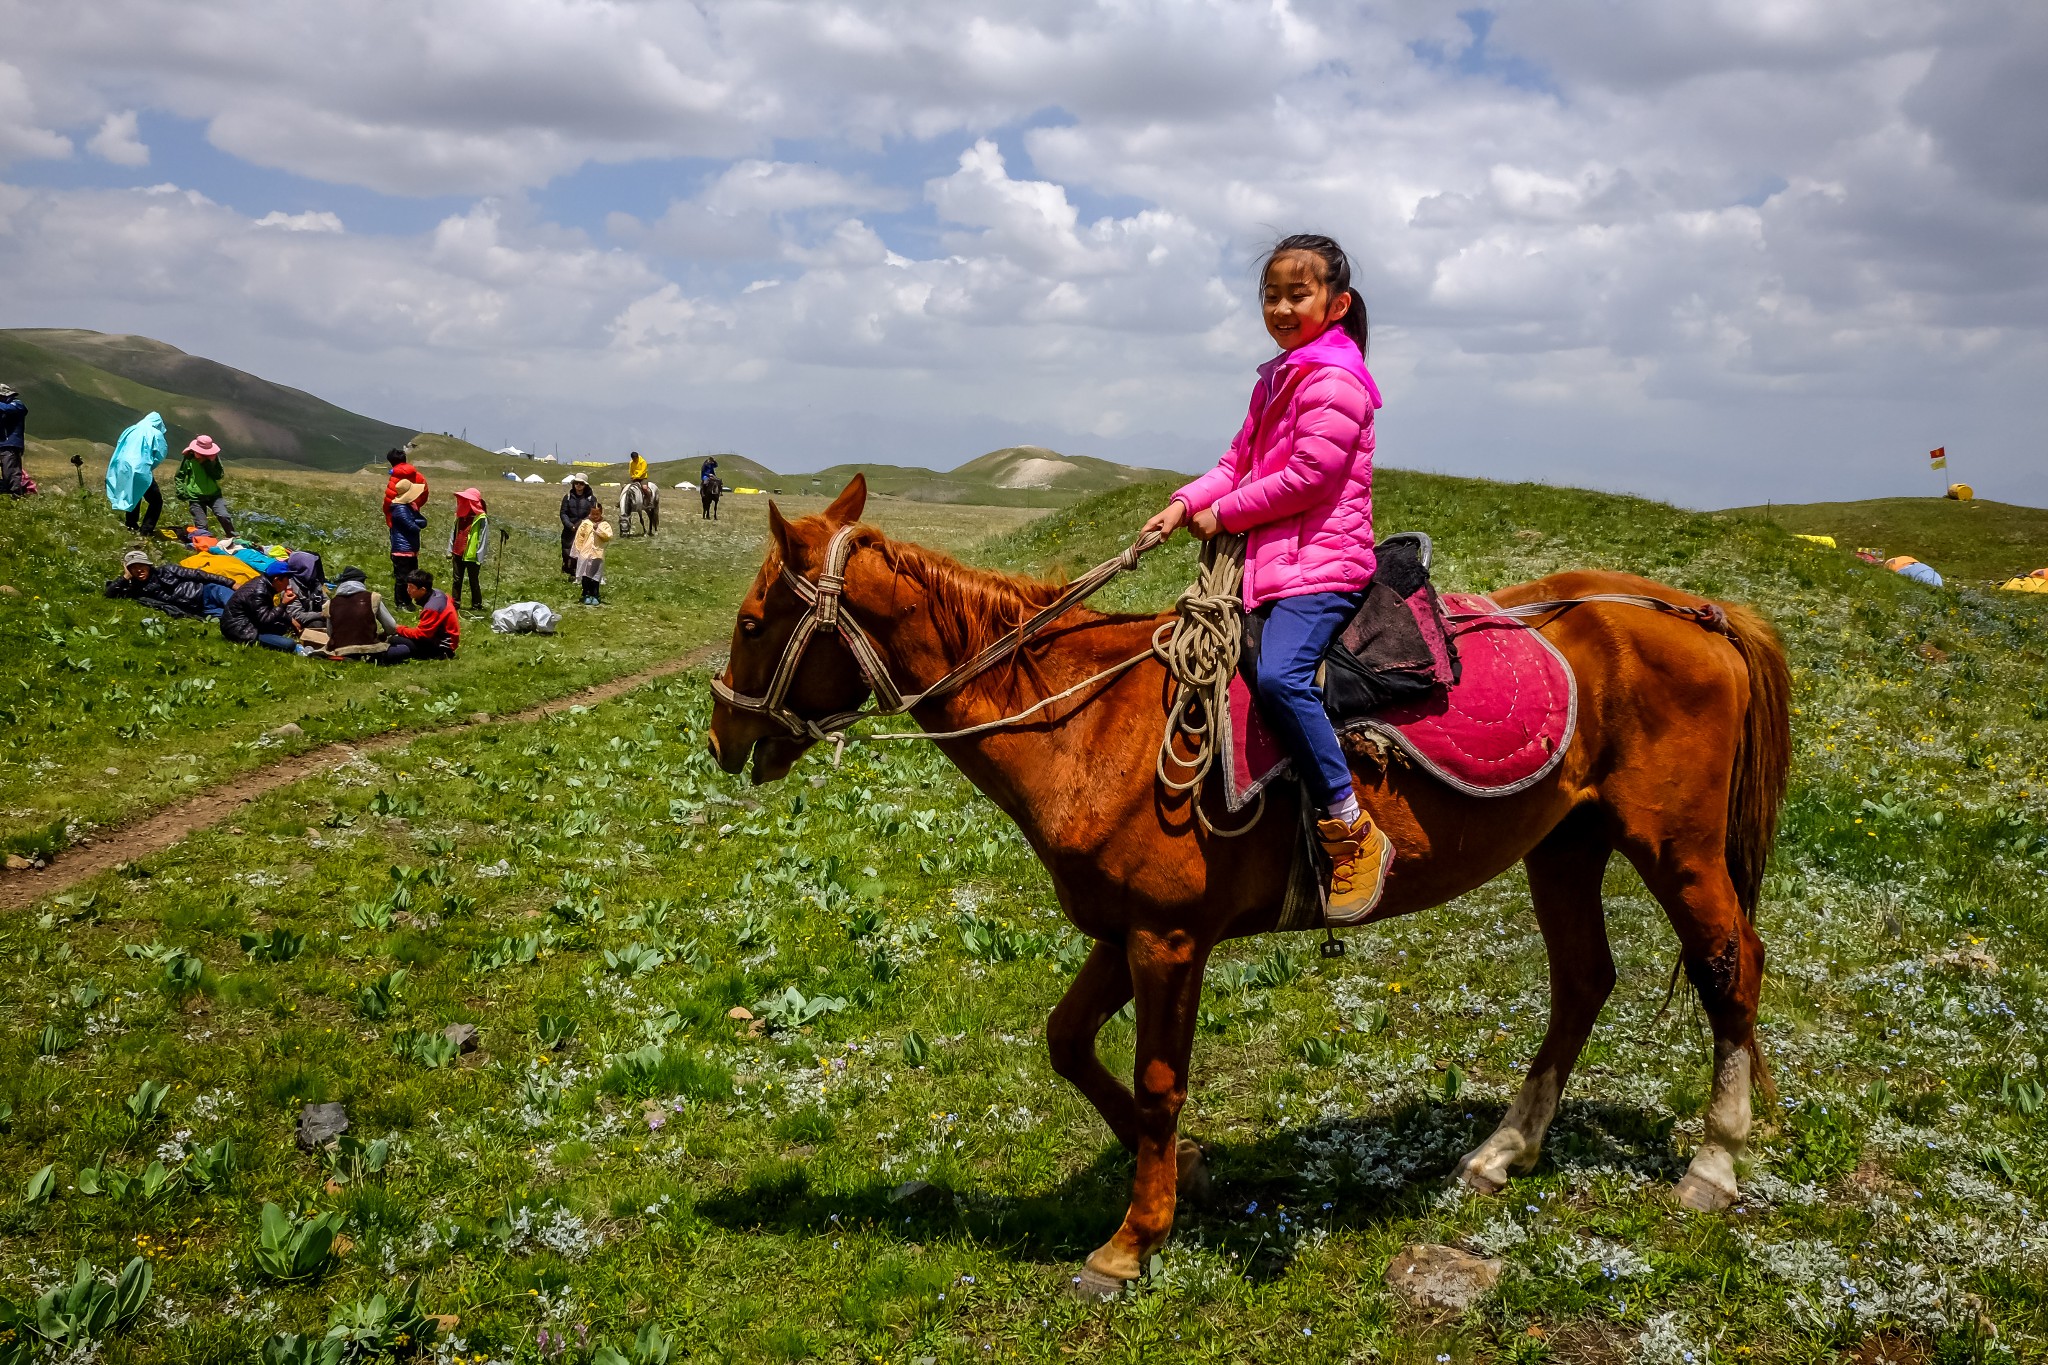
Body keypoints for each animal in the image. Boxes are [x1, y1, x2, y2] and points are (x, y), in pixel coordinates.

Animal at [716, 474, 1794, 1301]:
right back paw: (1505, 1150)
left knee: (1726, 969)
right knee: (1582, 980)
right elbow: (1066, 1042)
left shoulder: (1166, 939)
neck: (1083, 723)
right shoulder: (1121, 930)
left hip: (1675, 846)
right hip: (1566, 842)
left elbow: (1158, 1081)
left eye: (752, 621)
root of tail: (1695, 612)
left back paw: (1712, 1160)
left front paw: (1131, 1240)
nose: (723, 735)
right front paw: (1188, 1170)